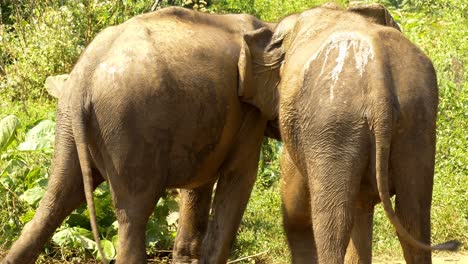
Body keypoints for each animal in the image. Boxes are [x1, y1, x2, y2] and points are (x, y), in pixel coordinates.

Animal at [1, 6, 280, 264]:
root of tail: (84, 76)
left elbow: (199, 182)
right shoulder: (249, 113)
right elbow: (239, 178)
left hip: (69, 123)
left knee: (54, 203)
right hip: (129, 128)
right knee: (133, 216)